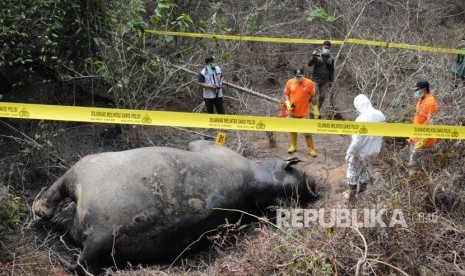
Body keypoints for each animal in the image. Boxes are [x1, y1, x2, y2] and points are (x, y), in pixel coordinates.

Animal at [31, 139, 316, 268]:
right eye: (299, 174)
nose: (315, 186)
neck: (260, 180)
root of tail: (97, 238)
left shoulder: (211, 147)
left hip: (83, 169)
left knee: (52, 200)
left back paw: (41, 210)